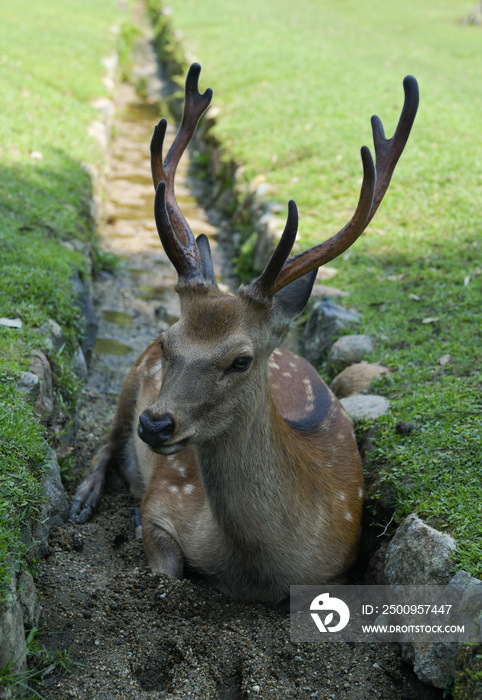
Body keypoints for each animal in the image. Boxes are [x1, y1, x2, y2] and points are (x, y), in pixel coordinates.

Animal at [69, 63, 420, 604]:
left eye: (241, 360)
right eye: (169, 341)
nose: (156, 424)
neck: (255, 569)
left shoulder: (341, 567)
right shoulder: (165, 502)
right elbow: (165, 567)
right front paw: (132, 518)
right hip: (129, 381)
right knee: (105, 440)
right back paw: (84, 500)